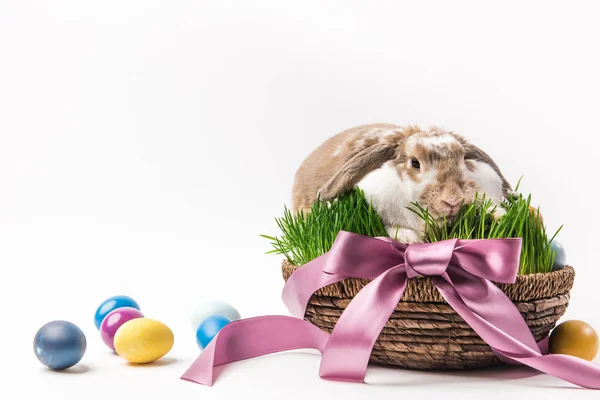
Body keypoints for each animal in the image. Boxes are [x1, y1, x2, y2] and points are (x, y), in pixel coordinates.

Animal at [290, 123, 510, 244]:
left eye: (463, 159)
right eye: (415, 162)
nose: (453, 201)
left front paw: (500, 216)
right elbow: (390, 228)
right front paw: (408, 239)